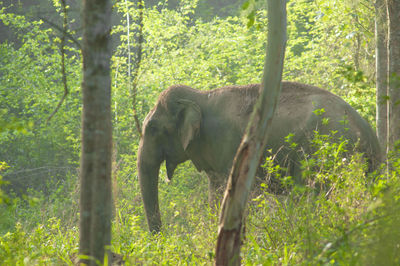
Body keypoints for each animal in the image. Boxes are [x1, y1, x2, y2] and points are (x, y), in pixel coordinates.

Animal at [138, 81, 382, 233]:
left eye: (152, 128)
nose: (159, 238)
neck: (200, 96)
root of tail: (367, 129)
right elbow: (215, 195)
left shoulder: (227, 143)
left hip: (323, 152)